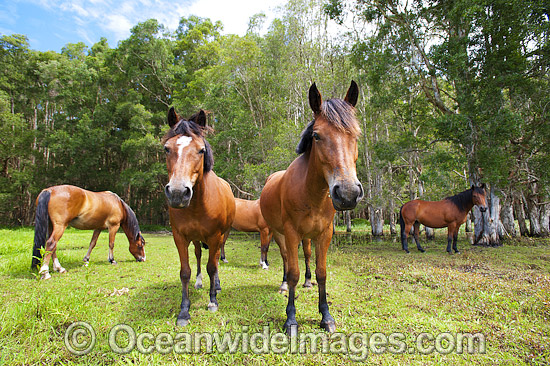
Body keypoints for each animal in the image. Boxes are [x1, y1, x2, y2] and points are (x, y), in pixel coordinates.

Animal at [162, 106, 235, 326]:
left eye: (201, 150)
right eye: (166, 149)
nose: (178, 193)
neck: (197, 206)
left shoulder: (214, 236)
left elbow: (212, 266)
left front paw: (213, 301)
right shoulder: (180, 237)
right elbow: (185, 271)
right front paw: (184, 311)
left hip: (222, 236)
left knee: (216, 258)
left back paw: (216, 285)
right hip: (196, 239)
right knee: (198, 255)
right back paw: (199, 281)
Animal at [260, 81, 364, 334]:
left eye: (356, 135)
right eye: (317, 136)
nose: (348, 193)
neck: (311, 193)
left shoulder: (324, 233)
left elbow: (322, 272)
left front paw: (326, 316)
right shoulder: (290, 232)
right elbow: (293, 272)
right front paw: (290, 319)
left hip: (307, 236)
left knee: (306, 255)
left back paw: (307, 282)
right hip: (278, 232)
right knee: (286, 259)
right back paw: (283, 285)